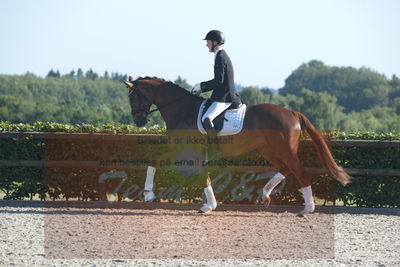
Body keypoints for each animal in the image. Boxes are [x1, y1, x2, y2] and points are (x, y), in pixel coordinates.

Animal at [122, 76, 350, 217]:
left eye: (132, 97)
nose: (138, 121)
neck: (181, 109)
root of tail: (292, 112)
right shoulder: (179, 150)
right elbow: (154, 161)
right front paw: (149, 195)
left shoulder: (190, 152)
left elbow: (202, 175)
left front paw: (209, 206)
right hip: (269, 151)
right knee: (285, 169)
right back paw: (265, 195)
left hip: (284, 151)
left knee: (300, 172)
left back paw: (306, 209)